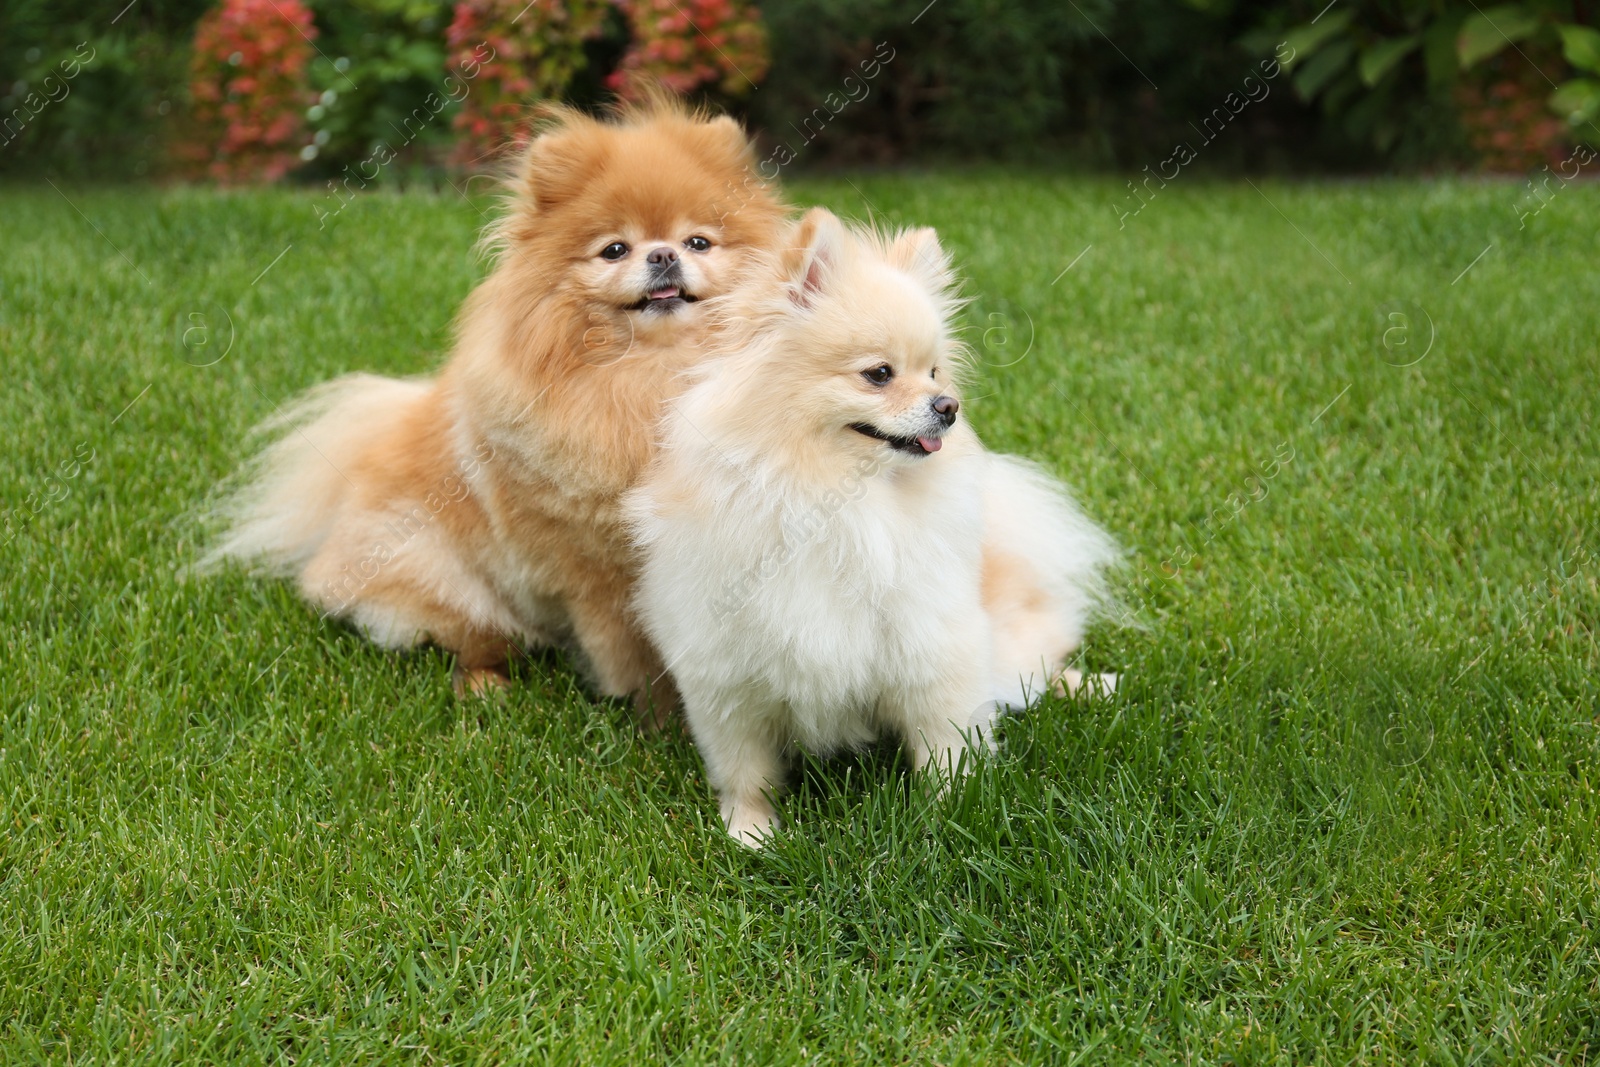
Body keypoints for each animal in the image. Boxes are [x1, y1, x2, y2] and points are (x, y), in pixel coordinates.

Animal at [206, 102, 793, 716]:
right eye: (614, 249)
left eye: (699, 242)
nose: (663, 254)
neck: (651, 375)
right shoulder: (593, 570)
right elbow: (626, 647)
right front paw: (650, 714)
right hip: (448, 583)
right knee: (472, 641)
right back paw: (486, 689)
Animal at [617, 206, 1120, 844]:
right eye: (879, 374)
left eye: (934, 372)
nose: (948, 405)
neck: (838, 498)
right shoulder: (724, 670)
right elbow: (744, 764)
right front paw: (752, 831)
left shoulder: (934, 642)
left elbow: (946, 744)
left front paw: (951, 812)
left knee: (1033, 665)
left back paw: (1092, 686)